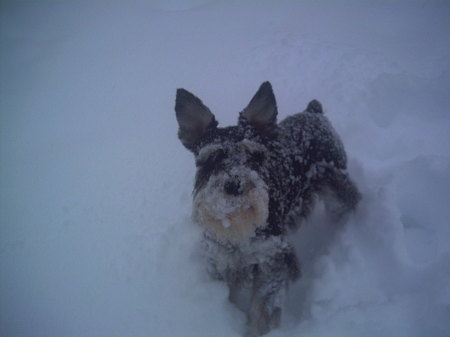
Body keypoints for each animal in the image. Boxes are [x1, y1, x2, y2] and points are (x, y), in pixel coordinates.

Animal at [174, 81, 360, 336]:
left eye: (255, 156)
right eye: (211, 158)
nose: (235, 184)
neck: (238, 228)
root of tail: (313, 112)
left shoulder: (273, 260)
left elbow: (263, 308)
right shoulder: (222, 260)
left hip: (334, 183)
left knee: (348, 201)